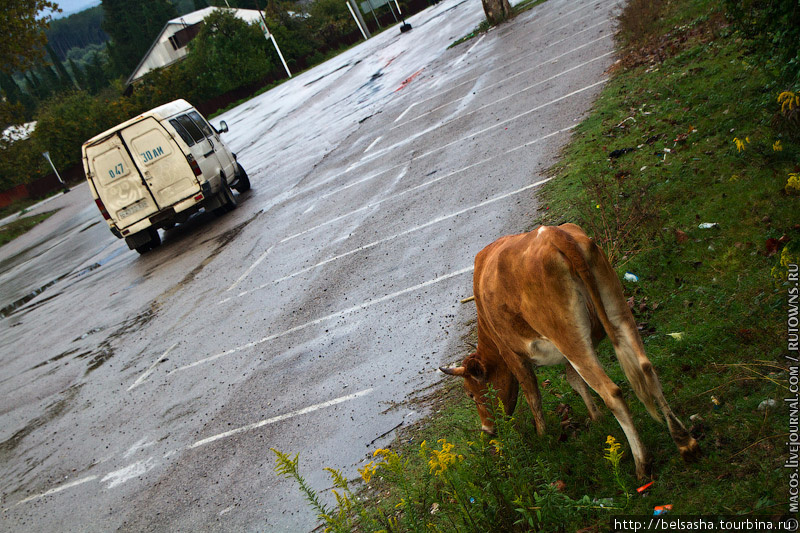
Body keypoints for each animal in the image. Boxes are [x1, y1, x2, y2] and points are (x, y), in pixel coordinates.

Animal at [444, 222, 700, 476]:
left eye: (470, 393)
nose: (487, 430)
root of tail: (554, 234)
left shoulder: (512, 354)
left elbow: (533, 395)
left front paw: (543, 437)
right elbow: (573, 380)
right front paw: (596, 417)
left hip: (568, 337)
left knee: (612, 393)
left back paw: (642, 463)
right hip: (616, 312)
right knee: (646, 367)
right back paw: (684, 442)